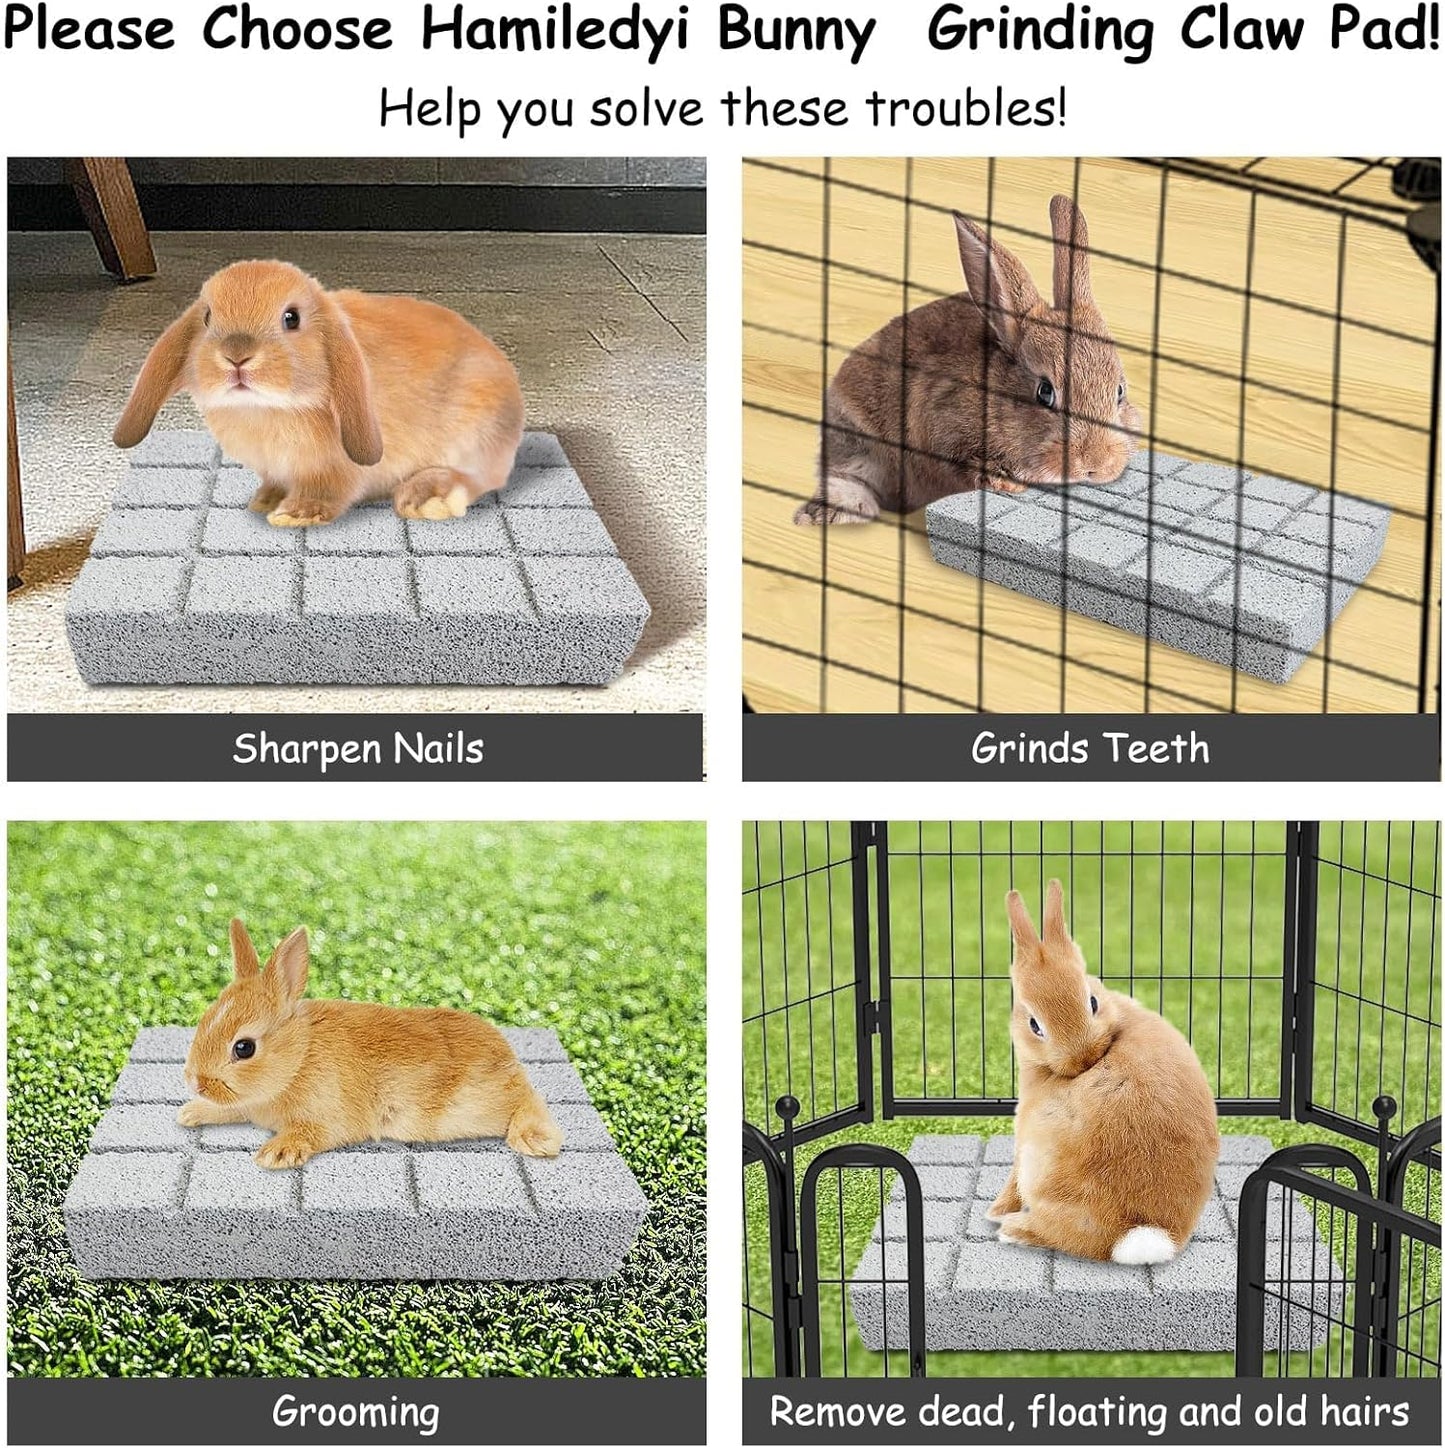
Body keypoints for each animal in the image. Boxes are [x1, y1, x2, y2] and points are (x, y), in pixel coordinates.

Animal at [114, 259, 524, 527]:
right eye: (207, 317)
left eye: (291, 318)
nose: (236, 356)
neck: (266, 409)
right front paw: (264, 502)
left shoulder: (335, 469)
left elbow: (328, 490)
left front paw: (292, 515)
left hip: (476, 430)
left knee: (480, 478)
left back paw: (427, 498)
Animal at [176, 919, 564, 1169]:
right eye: (205, 1018)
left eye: (244, 1048)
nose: (195, 1082)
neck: (299, 1058)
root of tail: (510, 1059)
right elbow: (233, 1108)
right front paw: (192, 1112)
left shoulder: (328, 1118)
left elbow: (311, 1132)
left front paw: (276, 1153)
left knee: (528, 1101)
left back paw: (535, 1139)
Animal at [987, 880, 1219, 1264]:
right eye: (1034, 1024)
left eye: (1091, 1002)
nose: (1082, 1058)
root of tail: (1141, 1233)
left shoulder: (1023, 1135)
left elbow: (1012, 1180)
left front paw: (994, 1211)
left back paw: (1013, 1229)